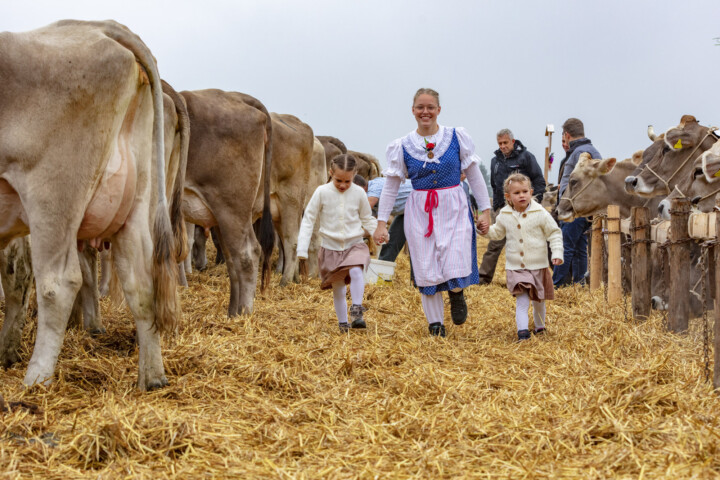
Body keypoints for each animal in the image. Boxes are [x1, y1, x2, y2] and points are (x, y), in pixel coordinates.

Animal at [0, 21, 179, 390]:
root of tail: (99, 26)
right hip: (135, 203)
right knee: (140, 283)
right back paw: (152, 377)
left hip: (53, 196)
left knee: (58, 284)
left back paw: (35, 381)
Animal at [179, 89, 272, 316]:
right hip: (220, 214)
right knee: (232, 258)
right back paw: (233, 312)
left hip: (232, 207)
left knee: (248, 254)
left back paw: (244, 313)